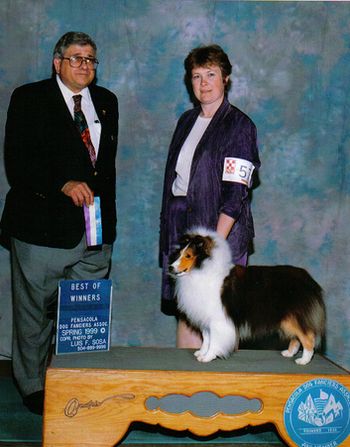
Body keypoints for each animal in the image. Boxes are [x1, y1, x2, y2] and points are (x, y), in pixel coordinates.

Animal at [170, 229, 326, 366]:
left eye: (188, 256)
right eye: (179, 254)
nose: (171, 267)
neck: (202, 271)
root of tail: (309, 280)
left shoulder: (217, 319)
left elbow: (214, 340)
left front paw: (207, 357)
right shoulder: (206, 318)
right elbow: (206, 338)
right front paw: (202, 353)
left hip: (294, 316)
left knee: (308, 337)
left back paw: (304, 360)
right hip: (288, 319)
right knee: (297, 337)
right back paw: (289, 353)